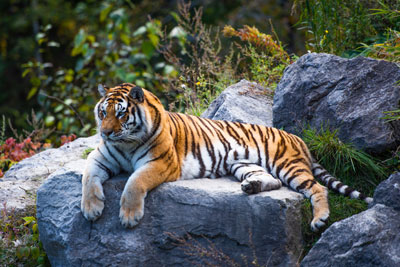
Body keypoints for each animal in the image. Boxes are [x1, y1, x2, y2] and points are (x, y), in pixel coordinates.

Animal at [80, 83, 372, 232]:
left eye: (120, 114)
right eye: (102, 112)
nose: (105, 132)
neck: (126, 143)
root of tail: (298, 138)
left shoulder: (161, 163)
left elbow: (134, 182)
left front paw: (129, 217)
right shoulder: (100, 157)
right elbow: (87, 178)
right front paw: (91, 209)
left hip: (287, 164)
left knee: (317, 187)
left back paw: (319, 219)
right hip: (244, 164)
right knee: (272, 181)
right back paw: (251, 187)